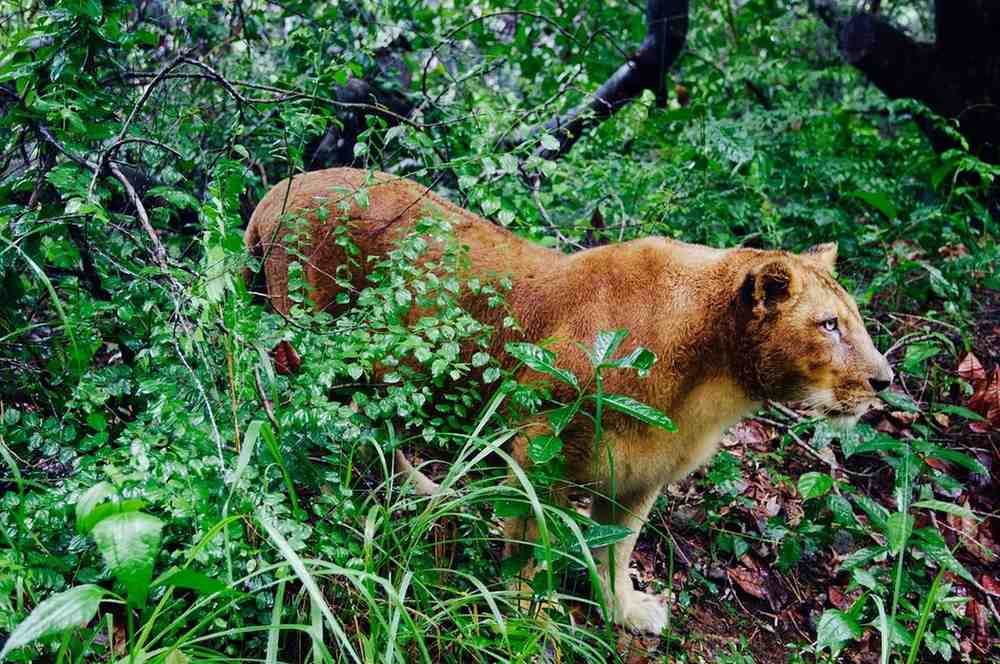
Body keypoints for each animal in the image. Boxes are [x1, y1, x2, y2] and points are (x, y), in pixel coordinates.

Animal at [246, 166, 896, 632]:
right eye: (830, 325)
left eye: (853, 320)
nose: (885, 381)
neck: (708, 384)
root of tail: (277, 191)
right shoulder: (537, 444)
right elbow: (529, 540)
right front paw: (525, 614)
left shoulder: (640, 477)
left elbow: (618, 551)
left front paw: (623, 611)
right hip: (309, 346)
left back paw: (431, 492)